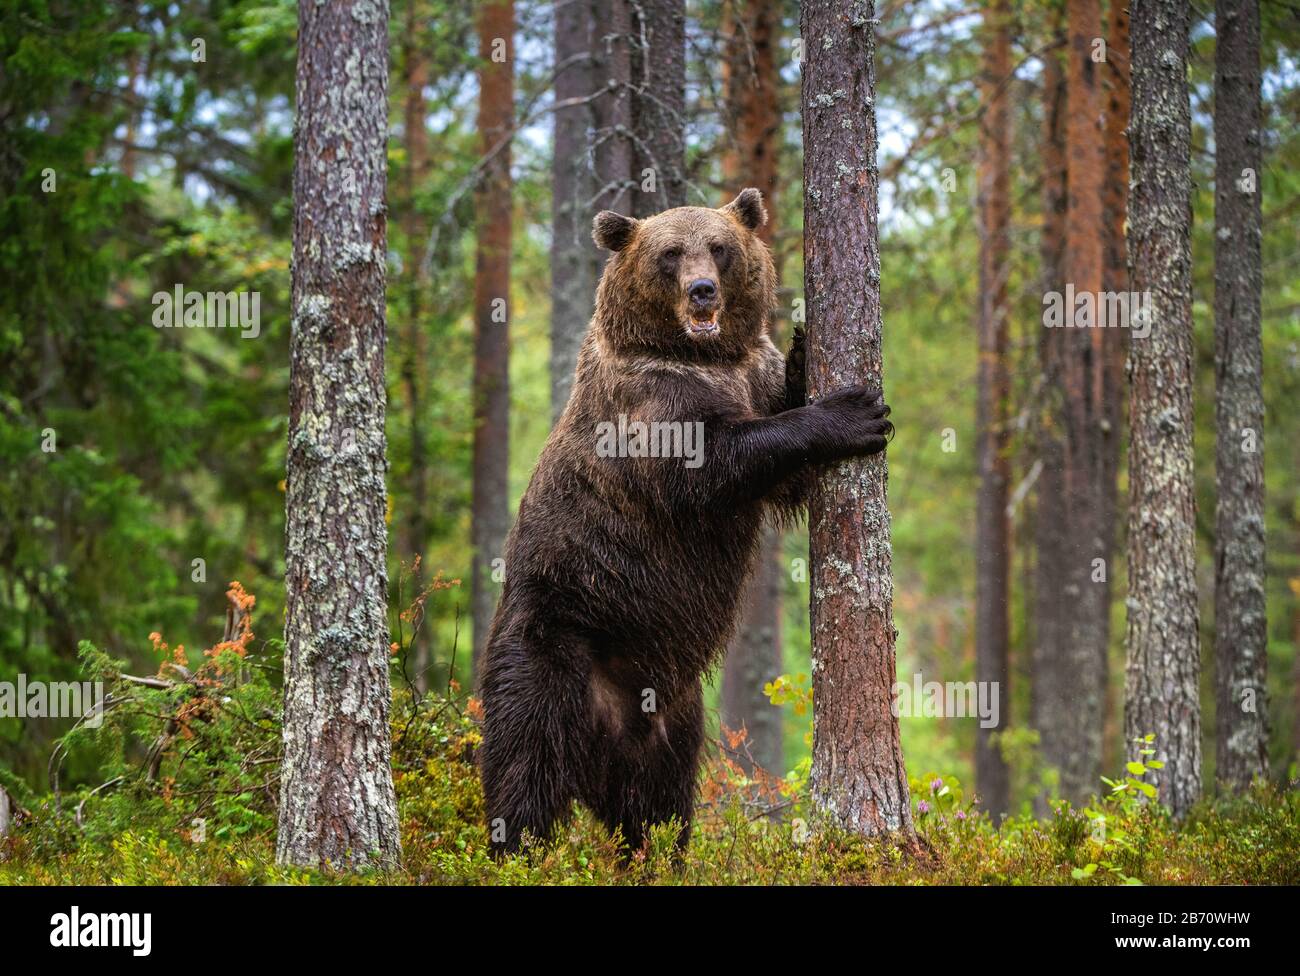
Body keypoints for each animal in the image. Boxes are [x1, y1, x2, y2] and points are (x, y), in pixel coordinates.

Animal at [478, 184, 894, 852]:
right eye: (670, 253)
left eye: (719, 248)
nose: (702, 290)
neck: (701, 354)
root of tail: (608, 729)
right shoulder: (651, 402)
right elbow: (716, 463)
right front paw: (851, 413)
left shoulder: (749, 372)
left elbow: (785, 468)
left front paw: (805, 348)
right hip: (549, 646)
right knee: (526, 767)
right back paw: (515, 850)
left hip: (675, 716)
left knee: (660, 806)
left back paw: (654, 852)